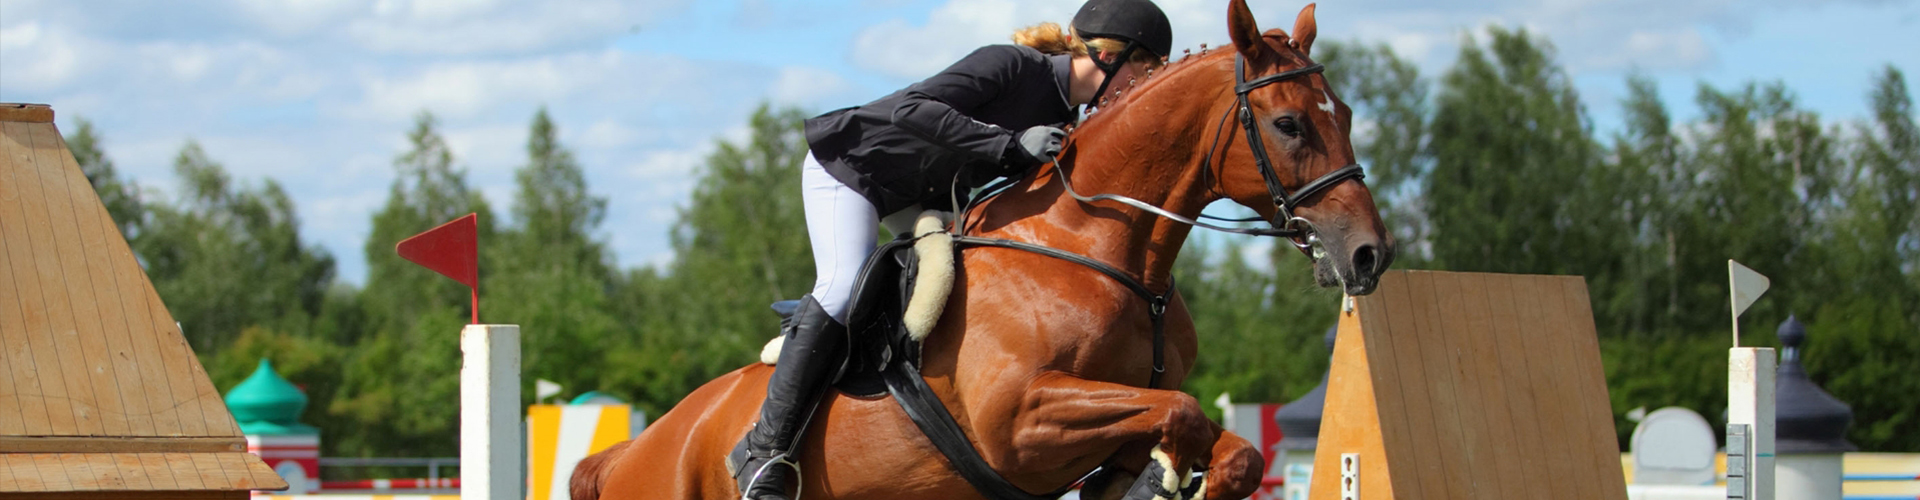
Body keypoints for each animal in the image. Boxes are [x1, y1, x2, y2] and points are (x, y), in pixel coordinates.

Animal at [572, 1, 1397, 496]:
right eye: (1289, 123)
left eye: (1350, 113)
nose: (1369, 255)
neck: (1102, 249)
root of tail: (628, 451)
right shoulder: (1021, 420)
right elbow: (1186, 414)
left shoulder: (1116, 423)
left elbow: (1228, 446)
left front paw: (1173, 479)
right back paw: (763, 465)